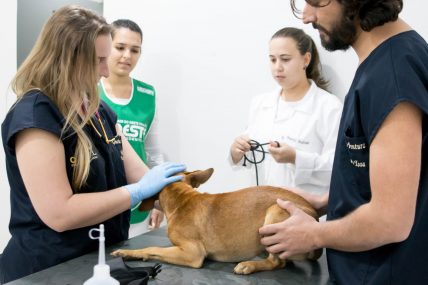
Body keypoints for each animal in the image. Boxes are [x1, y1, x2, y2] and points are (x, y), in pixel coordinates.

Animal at [112, 168, 322, 274]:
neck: (182, 199)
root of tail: (314, 215)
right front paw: (128, 253)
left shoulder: (193, 253)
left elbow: (153, 248)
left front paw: (134, 253)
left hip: (275, 212)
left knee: (277, 263)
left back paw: (249, 265)